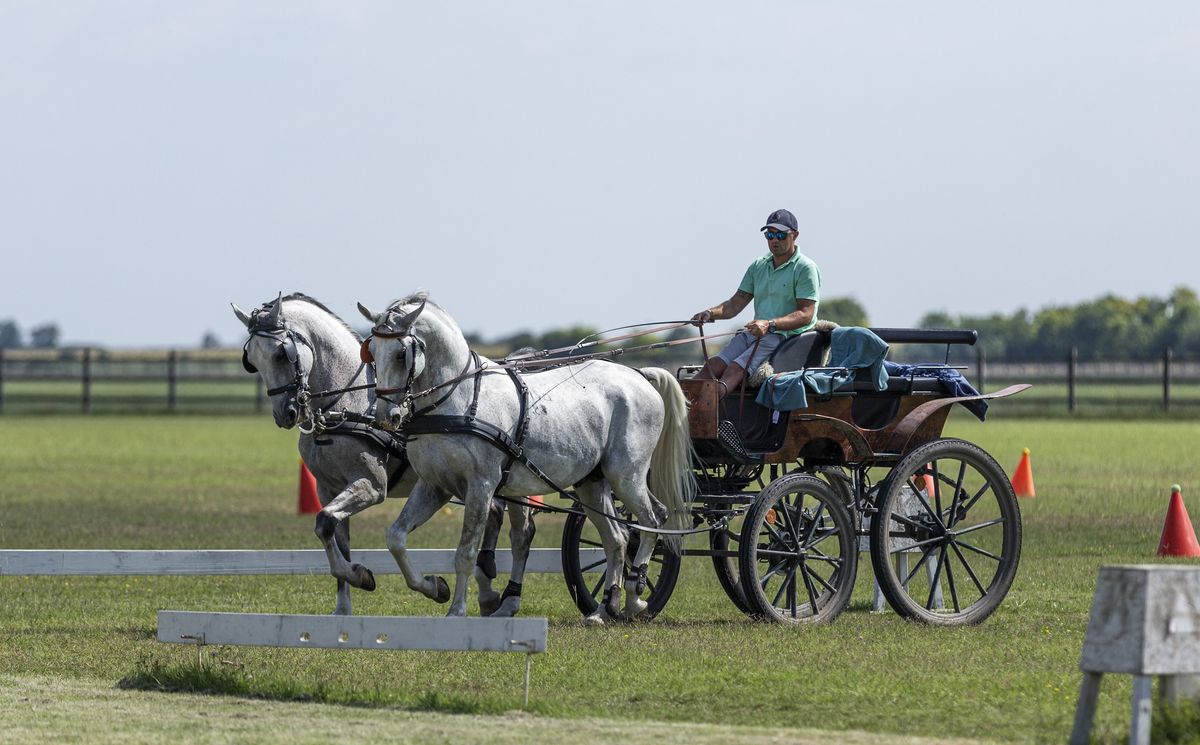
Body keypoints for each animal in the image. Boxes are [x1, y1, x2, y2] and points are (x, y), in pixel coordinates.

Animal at [232, 295, 530, 614]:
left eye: (281, 354)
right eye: (251, 359)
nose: (285, 414)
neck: (348, 403)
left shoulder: (371, 486)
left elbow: (325, 522)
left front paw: (364, 577)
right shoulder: (328, 488)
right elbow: (334, 537)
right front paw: (345, 602)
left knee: (520, 532)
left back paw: (503, 595)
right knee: (496, 515)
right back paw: (488, 590)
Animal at [355, 293, 696, 623]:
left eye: (401, 354)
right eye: (370, 351)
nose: (386, 416)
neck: (458, 398)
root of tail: (639, 375)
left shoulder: (480, 487)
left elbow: (466, 552)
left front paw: (457, 611)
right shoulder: (434, 486)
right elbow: (396, 538)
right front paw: (433, 587)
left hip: (626, 476)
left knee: (652, 520)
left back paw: (636, 594)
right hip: (592, 484)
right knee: (618, 538)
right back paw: (604, 608)